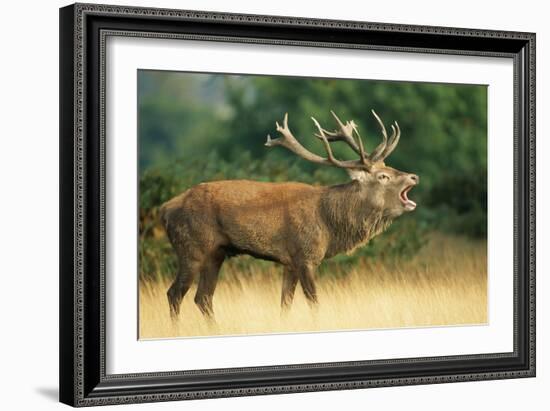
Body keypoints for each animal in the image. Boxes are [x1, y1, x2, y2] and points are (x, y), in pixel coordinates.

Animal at [162, 111, 420, 320]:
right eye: (383, 176)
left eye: (389, 166)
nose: (414, 176)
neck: (329, 225)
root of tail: (164, 209)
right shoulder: (305, 255)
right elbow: (314, 303)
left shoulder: (289, 262)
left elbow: (285, 305)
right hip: (191, 247)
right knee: (175, 293)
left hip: (216, 253)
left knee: (203, 298)